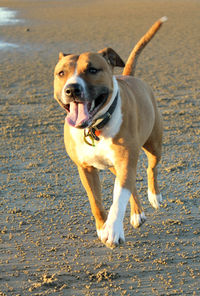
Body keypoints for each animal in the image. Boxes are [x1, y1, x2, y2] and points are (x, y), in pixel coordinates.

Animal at [53, 16, 167, 247]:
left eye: (92, 70)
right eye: (61, 73)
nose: (72, 89)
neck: (95, 128)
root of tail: (129, 76)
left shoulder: (125, 160)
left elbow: (118, 198)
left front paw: (113, 229)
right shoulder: (86, 169)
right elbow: (95, 201)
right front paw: (102, 227)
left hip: (153, 146)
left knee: (151, 168)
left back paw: (154, 197)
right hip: (116, 166)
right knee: (132, 183)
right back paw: (137, 213)